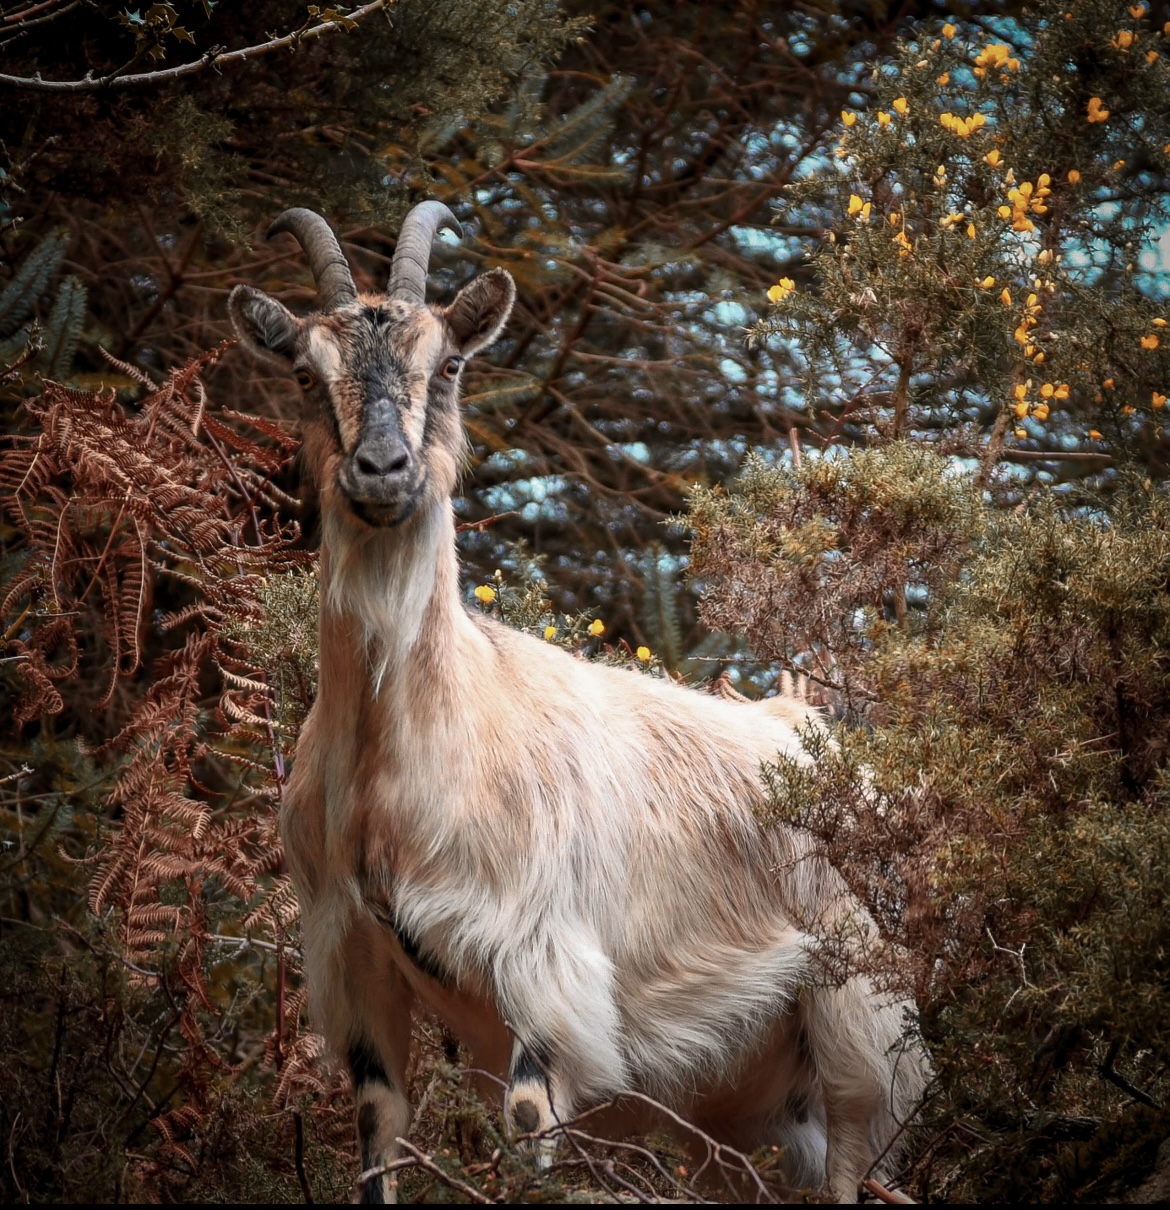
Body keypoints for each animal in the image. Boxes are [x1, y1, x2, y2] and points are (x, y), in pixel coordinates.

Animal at [229, 204, 927, 1203]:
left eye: (449, 364)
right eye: (303, 372)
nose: (382, 470)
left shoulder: (541, 965)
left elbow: (528, 1126)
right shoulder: (351, 961)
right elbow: (379, 1134)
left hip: (862, 1020)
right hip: (729, 1110)